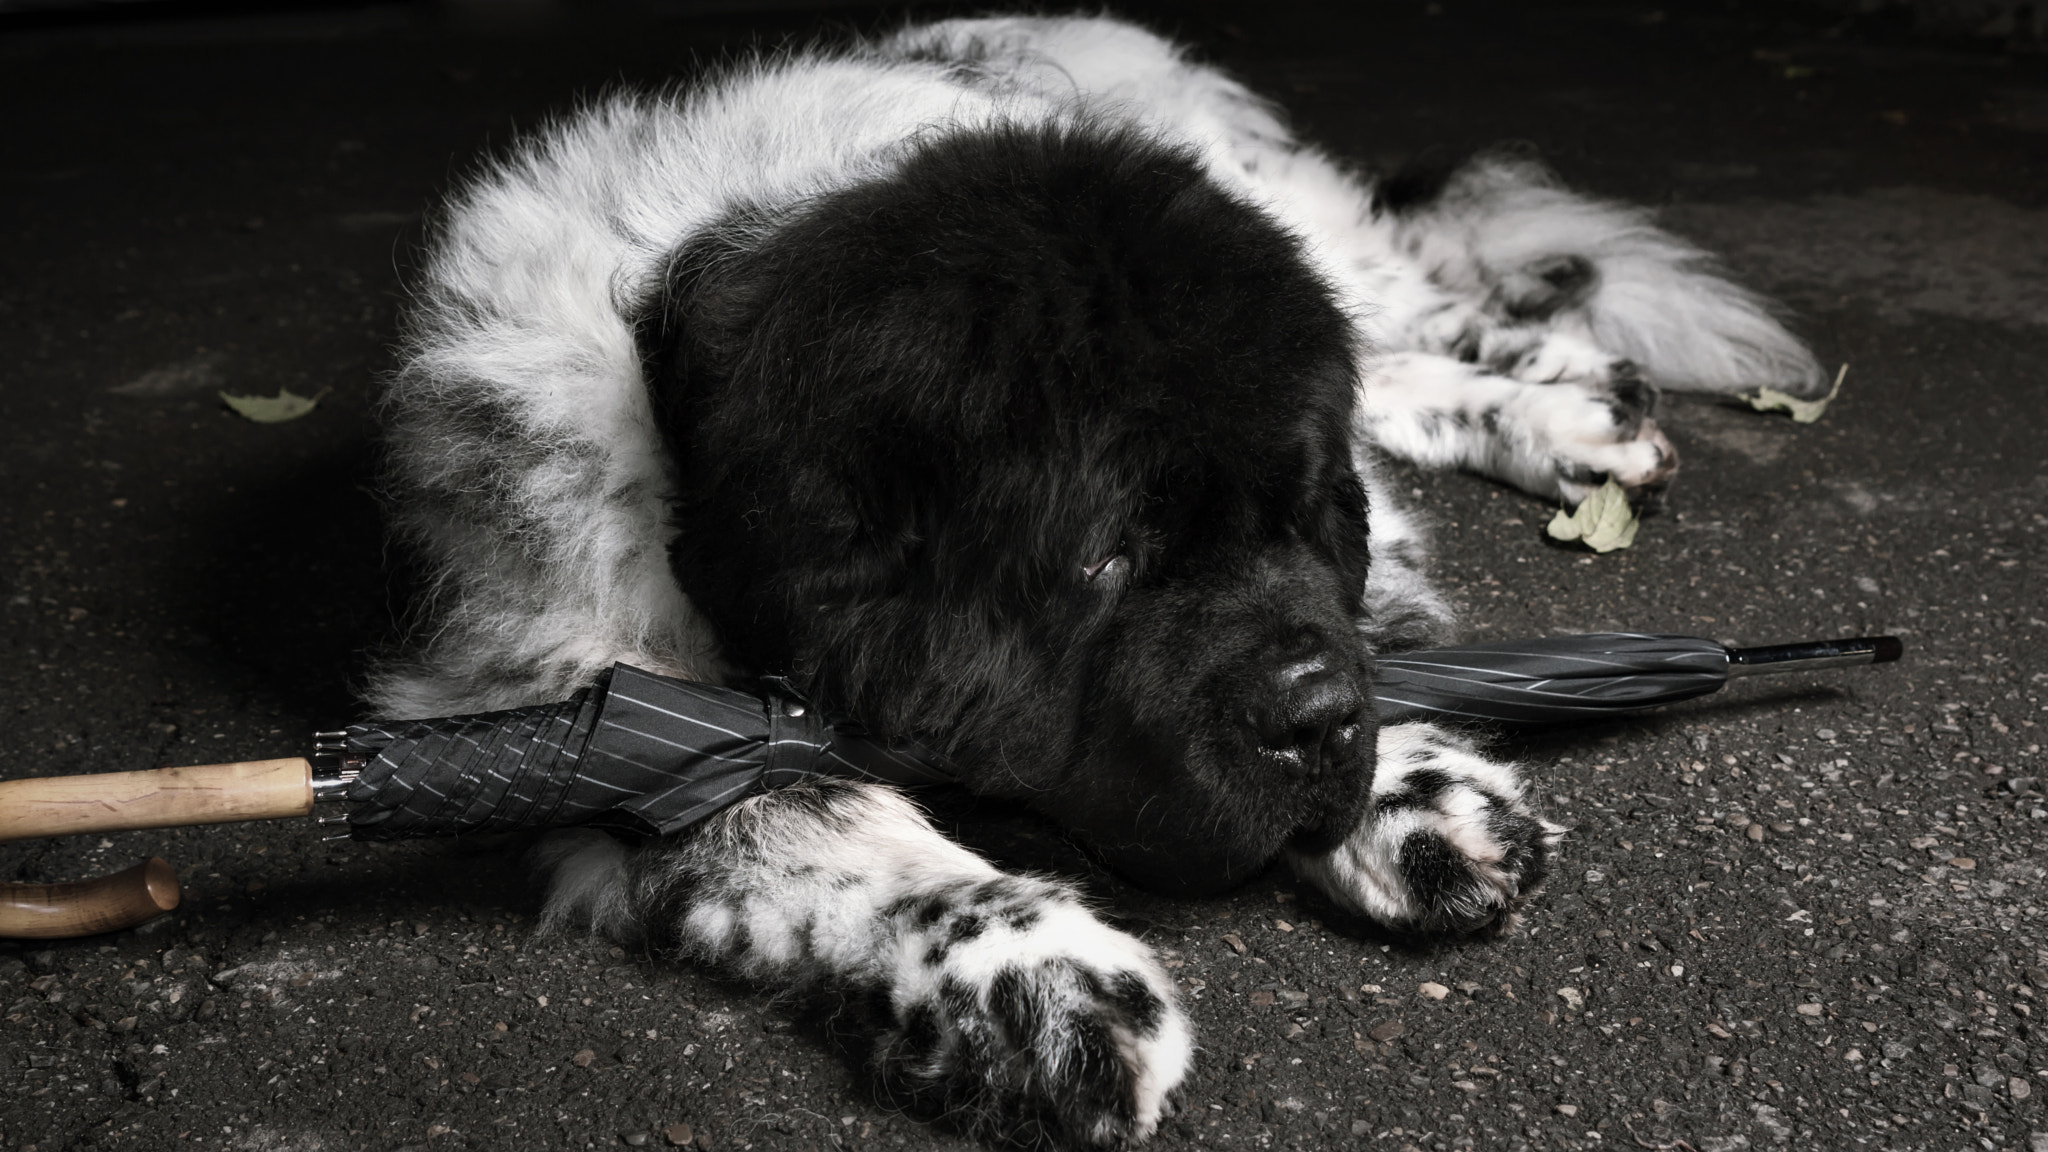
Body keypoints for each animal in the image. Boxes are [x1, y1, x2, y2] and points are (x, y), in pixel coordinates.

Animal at [368, 13, 1826, 1139]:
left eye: (1293, 518)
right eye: (1106, 558)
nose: (1318, 728)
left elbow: (1364, 616)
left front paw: (1411, 782)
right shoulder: (546, 695)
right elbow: (792, 802)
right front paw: (1037, 984)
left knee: (1429, 316)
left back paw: (1573, 399)